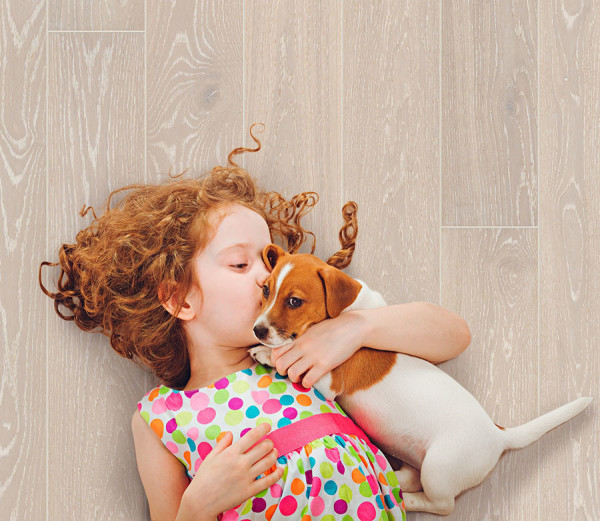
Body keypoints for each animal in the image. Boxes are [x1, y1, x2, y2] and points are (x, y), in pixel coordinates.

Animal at [247, 243, 592, 512]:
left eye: (295, 301)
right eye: (265, 290)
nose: (257, 330)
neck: (348, 312)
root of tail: (498, 435)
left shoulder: (326, 378)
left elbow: (289, 349)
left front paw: (266, 353)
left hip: (440, 468)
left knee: (443, 504)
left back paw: (406, 500)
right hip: (421, 462)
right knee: (410, 477)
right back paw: (390, 478)